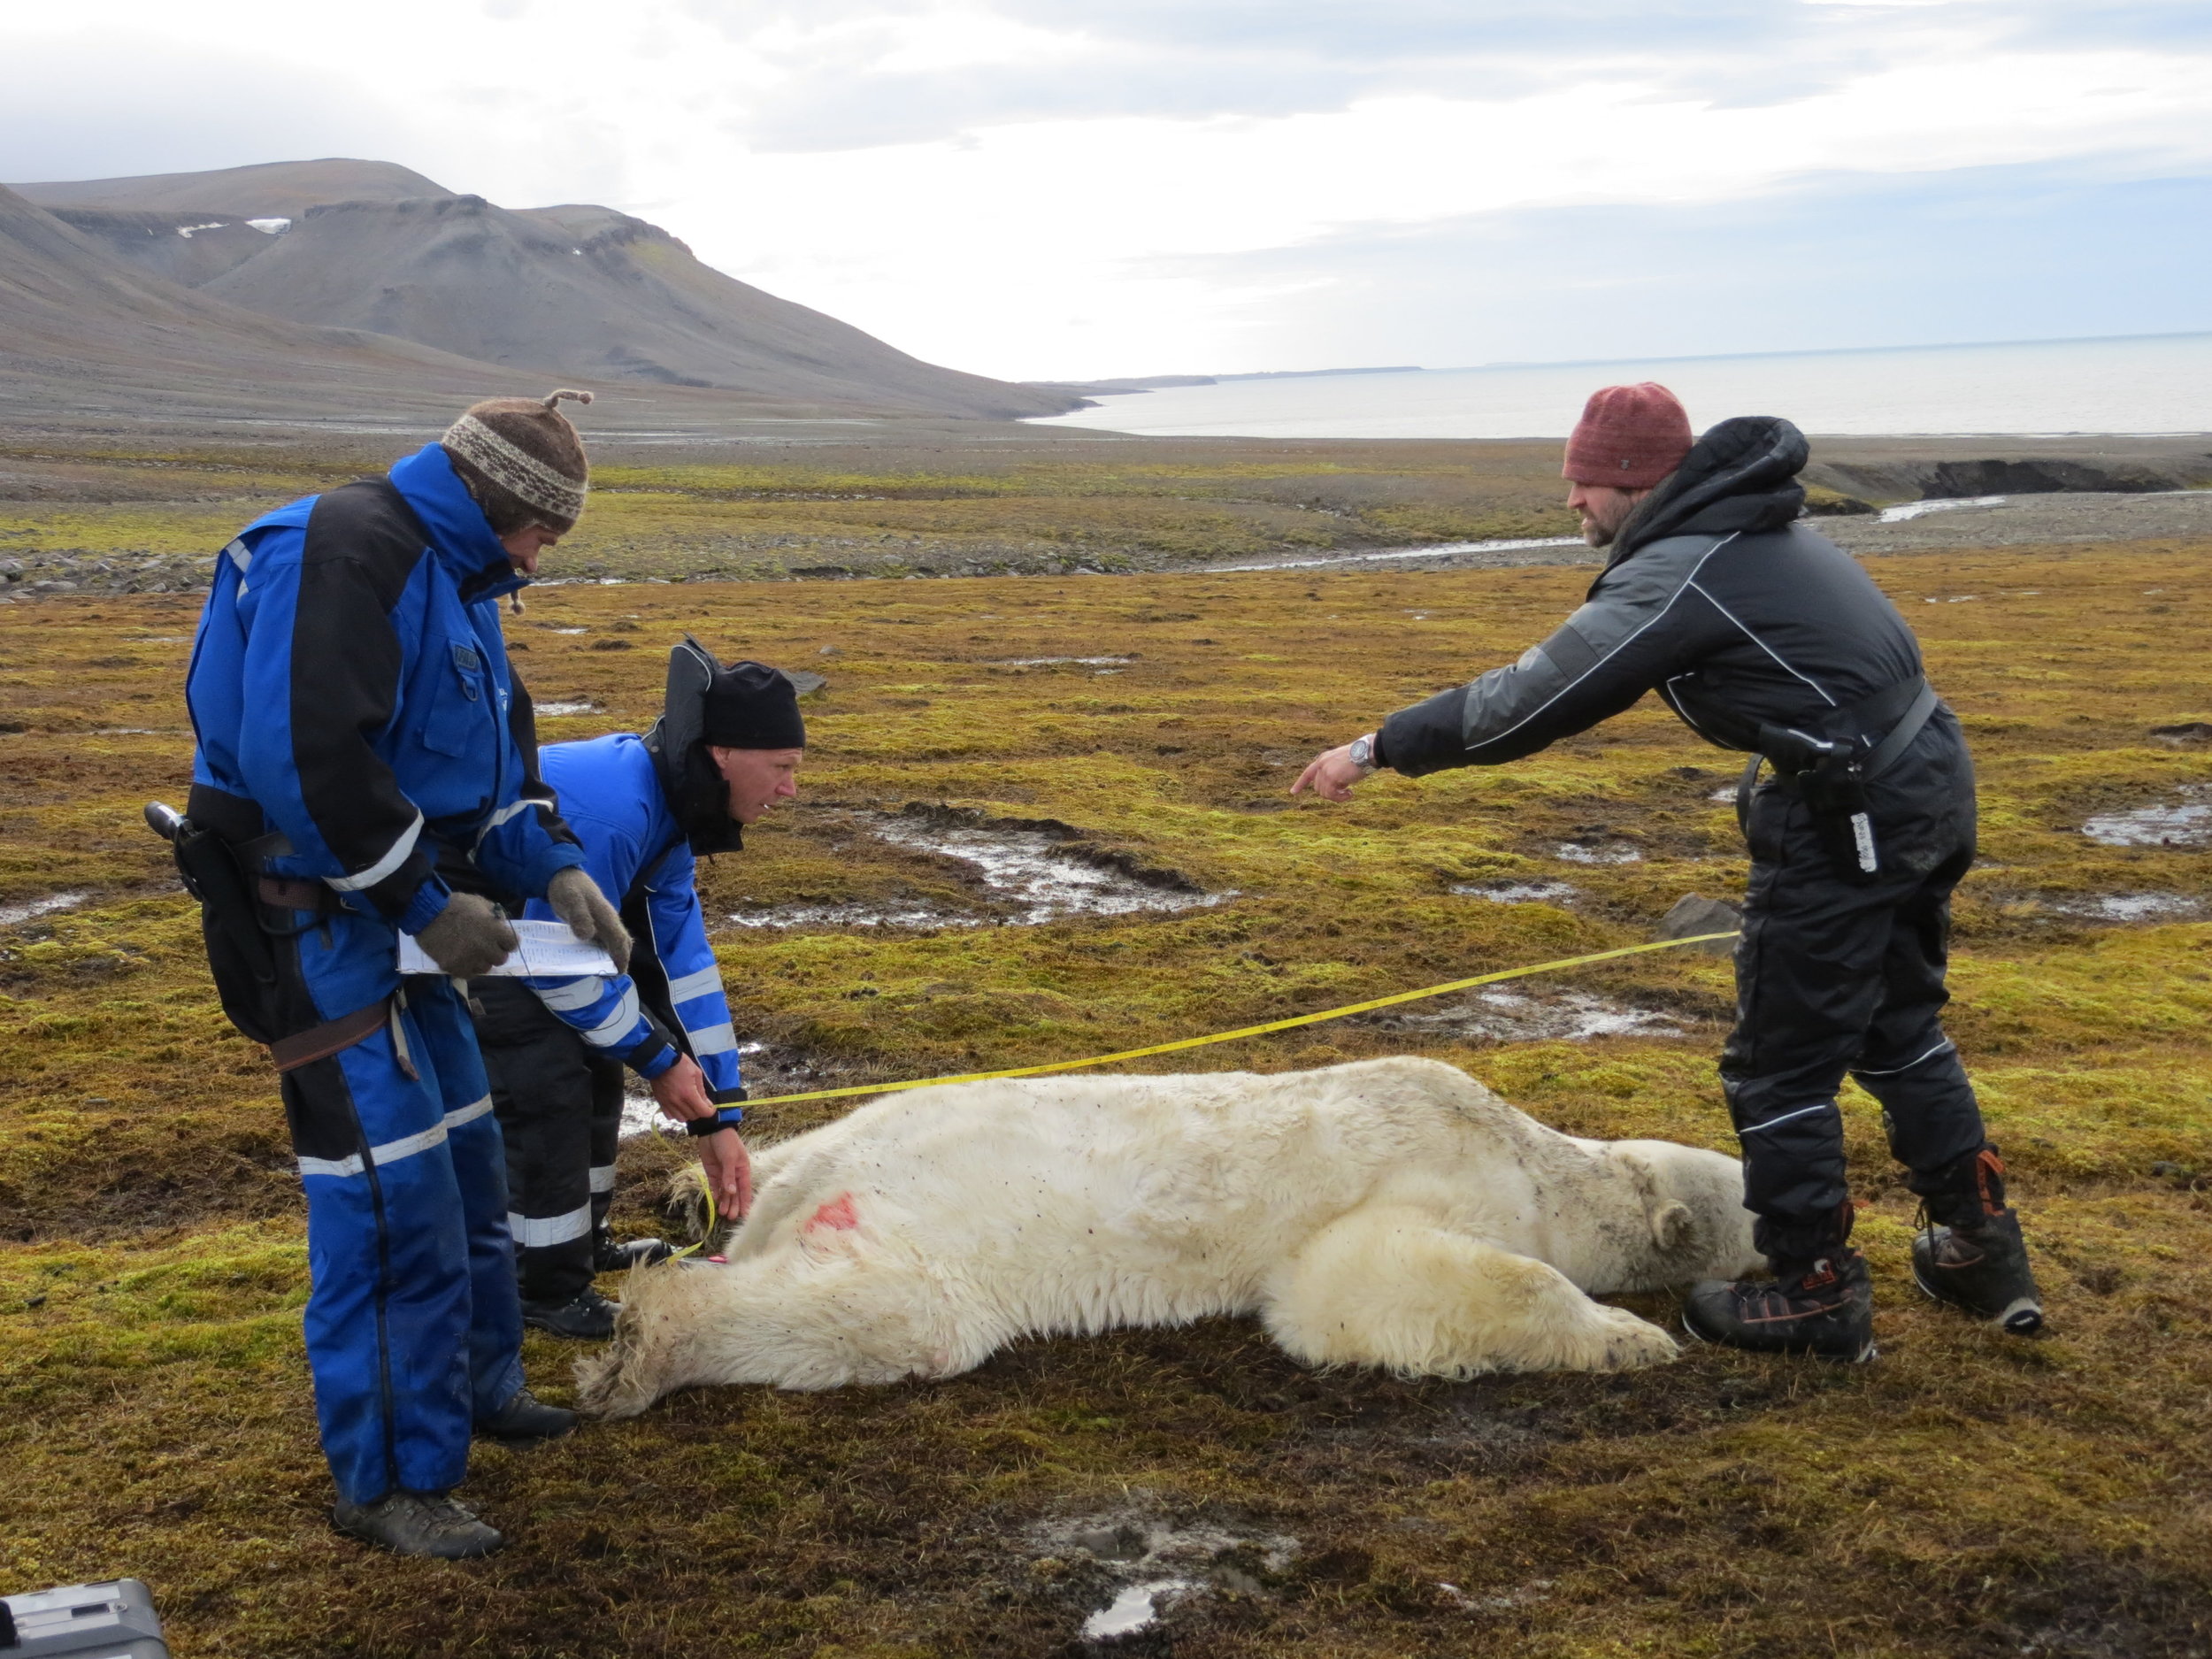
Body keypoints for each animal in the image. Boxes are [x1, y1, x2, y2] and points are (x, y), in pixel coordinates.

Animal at [575, 1057, 1761, 1425]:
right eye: (1763, 1200)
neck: (1533, 1157)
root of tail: (814, 1187)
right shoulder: (1429, 1176)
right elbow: (1350, 1287)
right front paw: (1631, 1338)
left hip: (864, 1139)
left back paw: (703, 1185)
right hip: (927, 1231)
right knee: (890, 1317)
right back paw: (647, 1347)